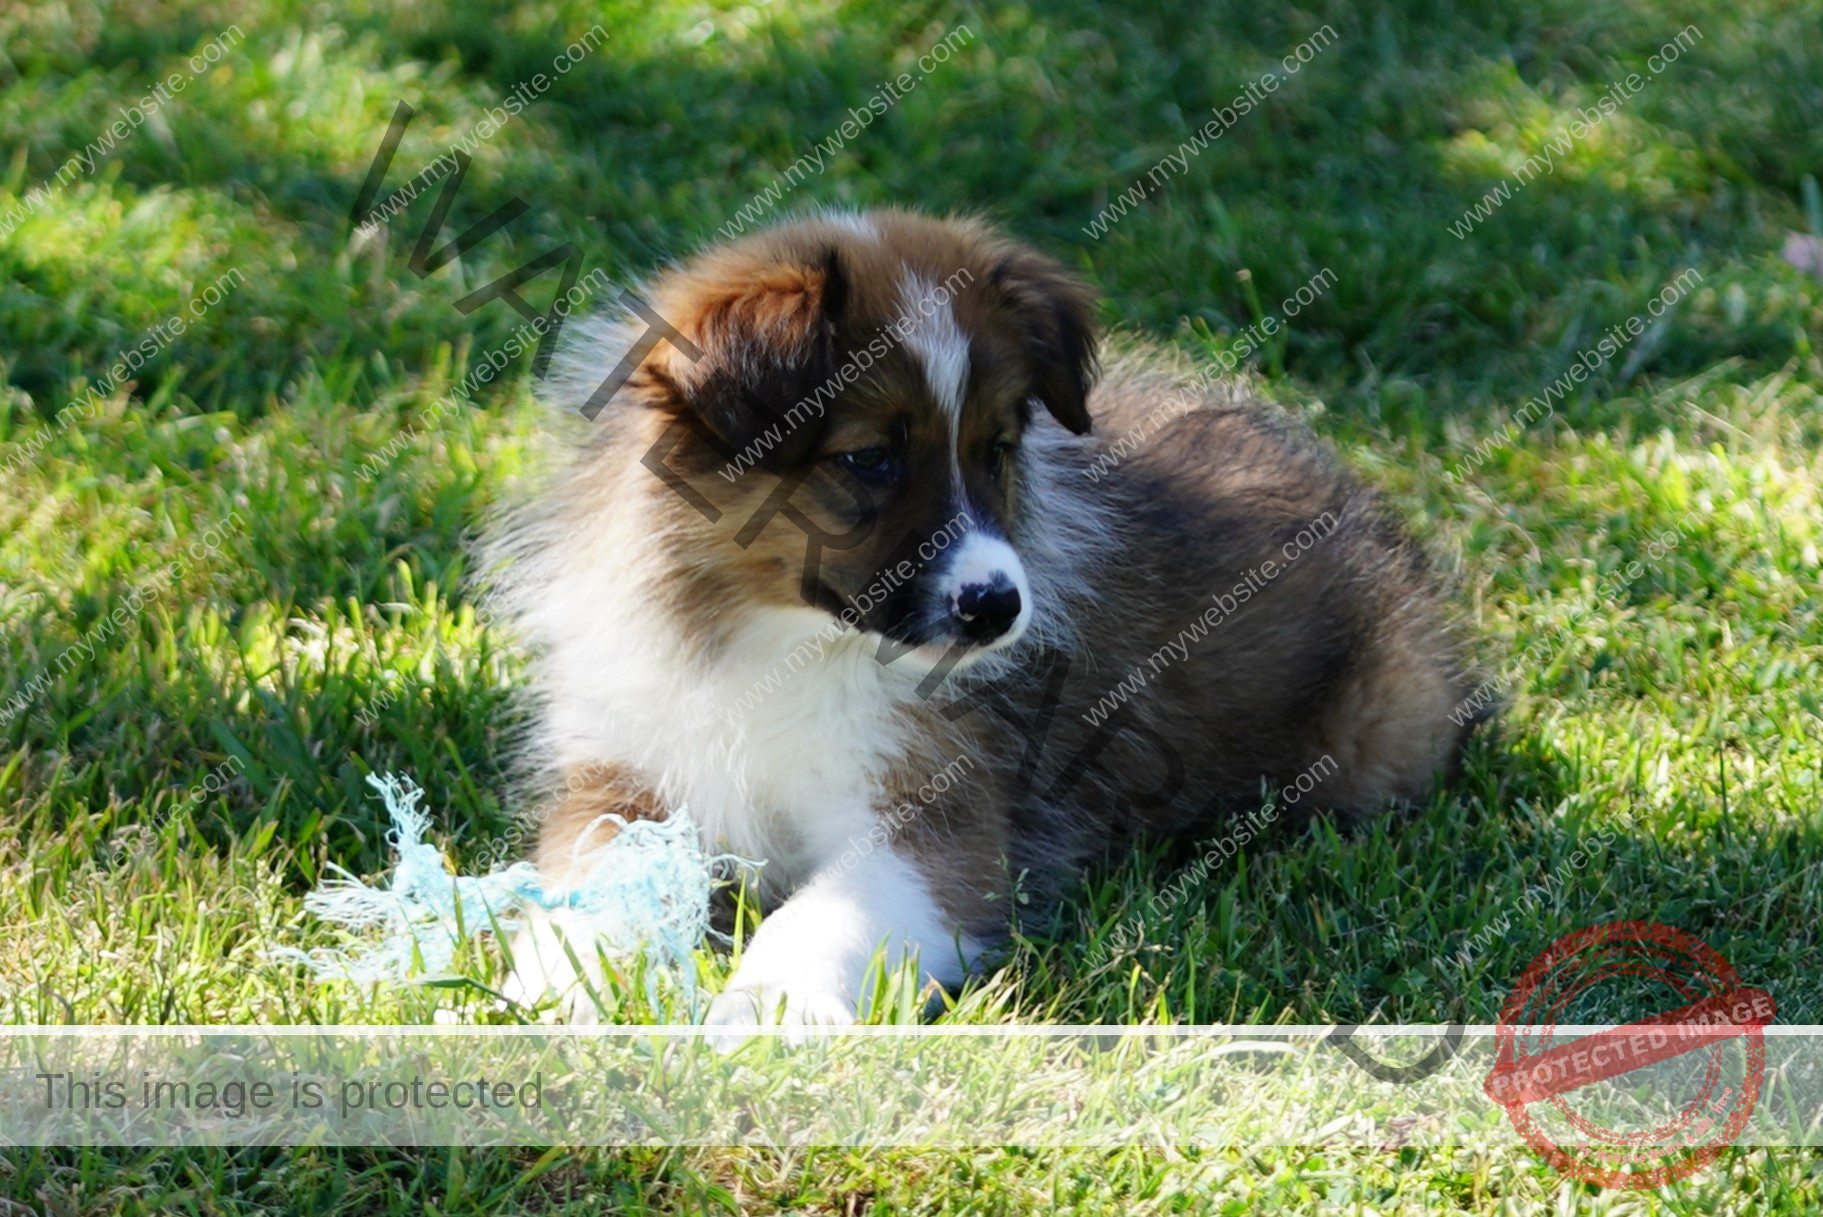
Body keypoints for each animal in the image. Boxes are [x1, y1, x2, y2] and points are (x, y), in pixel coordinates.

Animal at [481, 206, 1465, 1027]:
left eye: (995, 448)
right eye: (868, 457)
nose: (995, 608)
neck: (780, 640)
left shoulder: (938, 815)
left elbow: (820, 917)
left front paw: (767, 1010)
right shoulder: (621, 777)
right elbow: (591, 890)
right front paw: (552, 988)